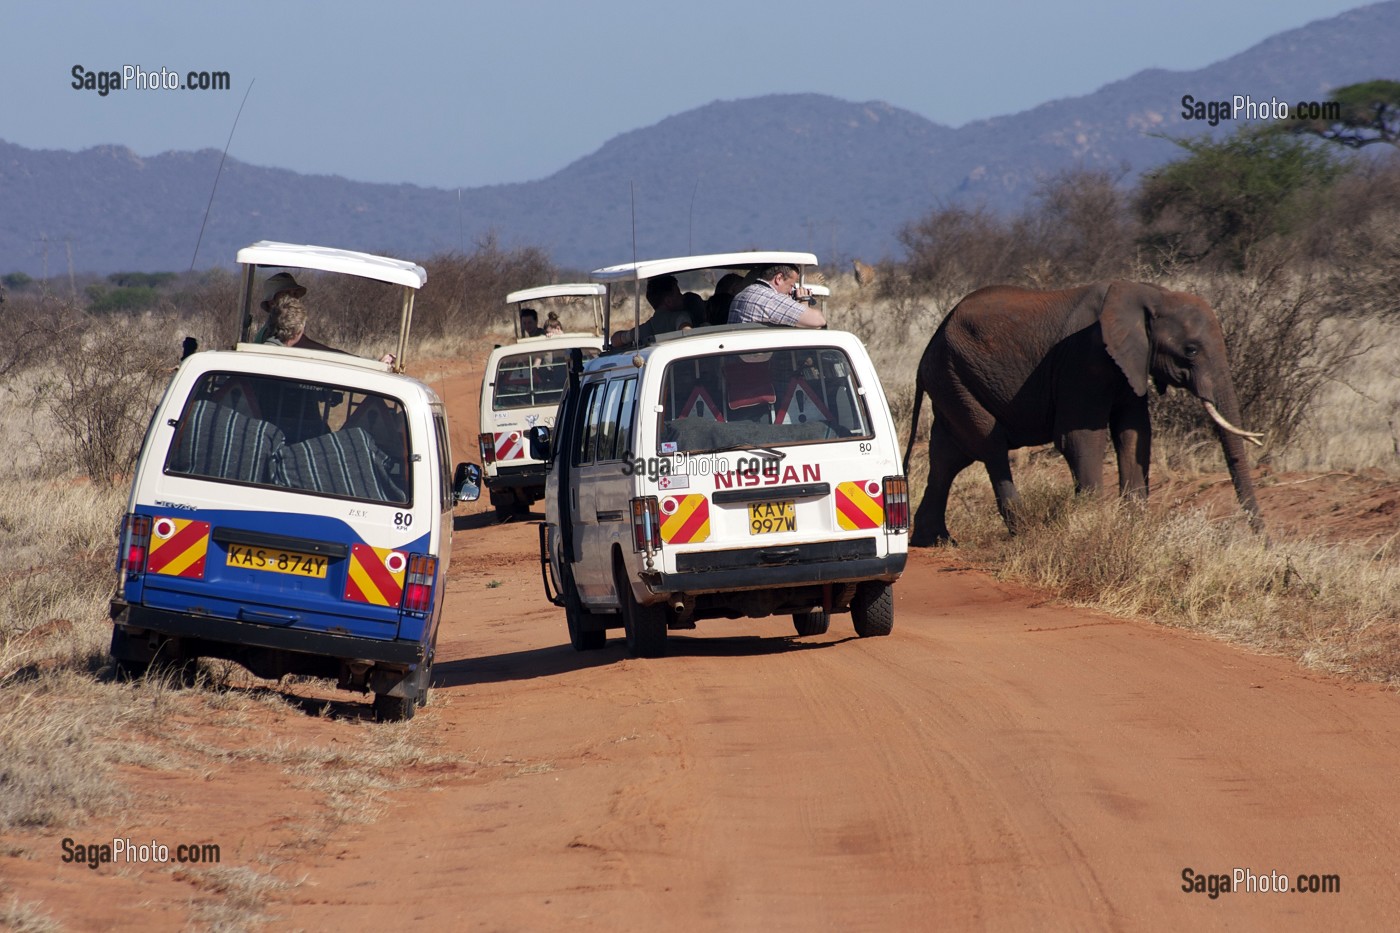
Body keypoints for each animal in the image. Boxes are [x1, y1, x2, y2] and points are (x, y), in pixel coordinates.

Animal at [904, 280, 1265, 546]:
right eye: (1190, 350)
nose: (1266, 542)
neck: (1151, 293)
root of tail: (929, 345)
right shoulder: (1084, 359)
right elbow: (1080, 438)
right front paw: (1089, 525)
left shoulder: (1128, 364)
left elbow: (1134, 434)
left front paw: (1132, 527)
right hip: (954, 375)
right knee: (990, 445)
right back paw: (1022, 531)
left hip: (950, 380)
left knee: (948, 456)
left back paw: (935, 541)